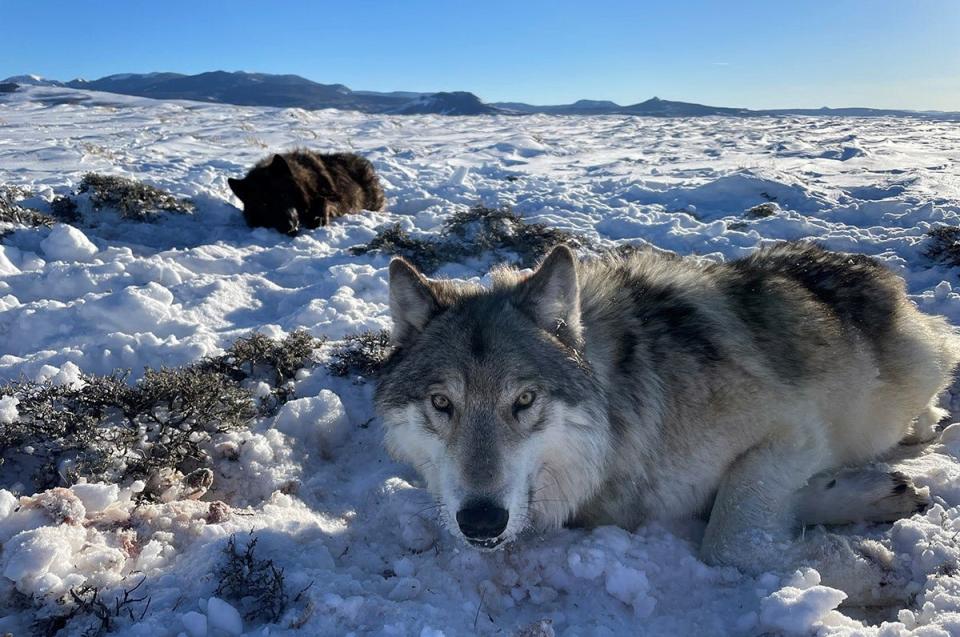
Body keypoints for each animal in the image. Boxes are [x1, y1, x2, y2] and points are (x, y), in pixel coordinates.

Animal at [227, 150, 384, 235]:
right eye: (264, 204)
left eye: (284, 196)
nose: (289, 226)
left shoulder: (337, 199)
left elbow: (323, 201)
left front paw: (318, 221)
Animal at [376, 240, 960, 600]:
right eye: (442, 404)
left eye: (523, 400)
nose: (479, 522)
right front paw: (860, 511)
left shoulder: (793, 430)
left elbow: (729, 539)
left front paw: (865, 574)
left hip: (916, 371)